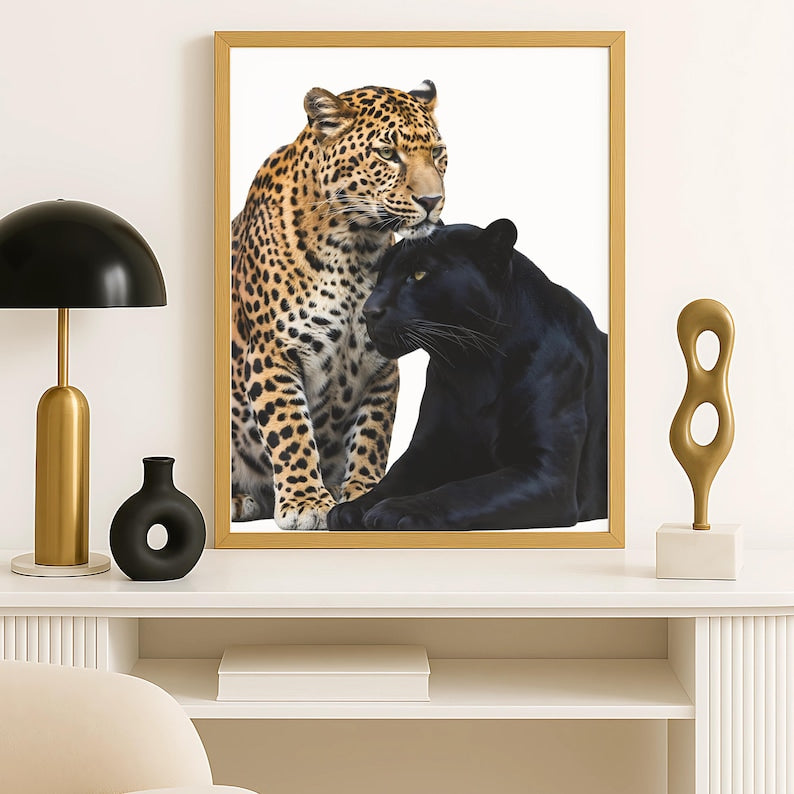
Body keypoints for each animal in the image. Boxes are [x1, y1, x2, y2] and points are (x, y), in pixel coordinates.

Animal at [230, 80, 446, 530]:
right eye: (387, 153)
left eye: (436, 152)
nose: (432, 200)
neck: (355, 247)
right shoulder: (273, 355)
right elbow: (290, 430)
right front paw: (306, 502)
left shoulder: (382, 362)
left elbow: (372, 436)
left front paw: (361, 495)